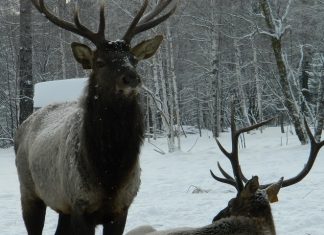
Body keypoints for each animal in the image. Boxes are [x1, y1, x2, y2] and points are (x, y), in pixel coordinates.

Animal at [13, 0, 177, 235]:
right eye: (99, 62)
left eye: (134, 59)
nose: (132, 78)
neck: (109, 174)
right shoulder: (81, 204)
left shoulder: (121, 207)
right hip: (29, 191)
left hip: (63, 206)